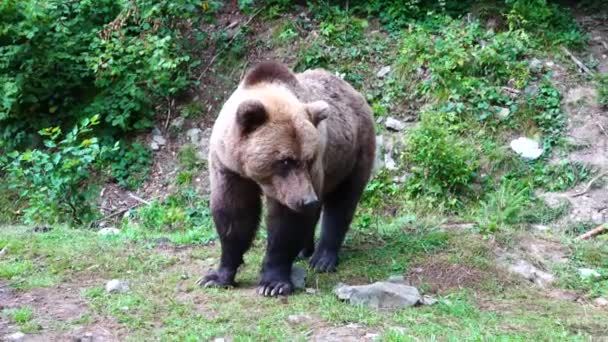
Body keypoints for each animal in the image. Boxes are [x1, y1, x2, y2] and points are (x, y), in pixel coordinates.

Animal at [197, 61, 376, 296]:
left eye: (308, 159)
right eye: (284, 160)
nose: (307, 200)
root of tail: (353, 91)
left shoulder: (300, 178)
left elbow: (285, 222)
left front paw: (273, 283)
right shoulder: (229, 167)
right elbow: (234, 214)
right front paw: (217, 277)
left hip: (352, 154)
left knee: (342, 203)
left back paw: (323, 258)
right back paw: (303, 250)